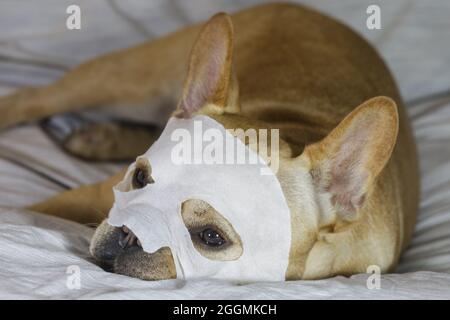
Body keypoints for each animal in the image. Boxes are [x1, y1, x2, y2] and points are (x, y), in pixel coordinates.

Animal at [0, 3, 422, 282]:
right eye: (139, 179)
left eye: (211, 238)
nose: (131, 231)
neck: (288, 125)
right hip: (124, 80)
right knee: (33, 98)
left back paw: (99, 137)